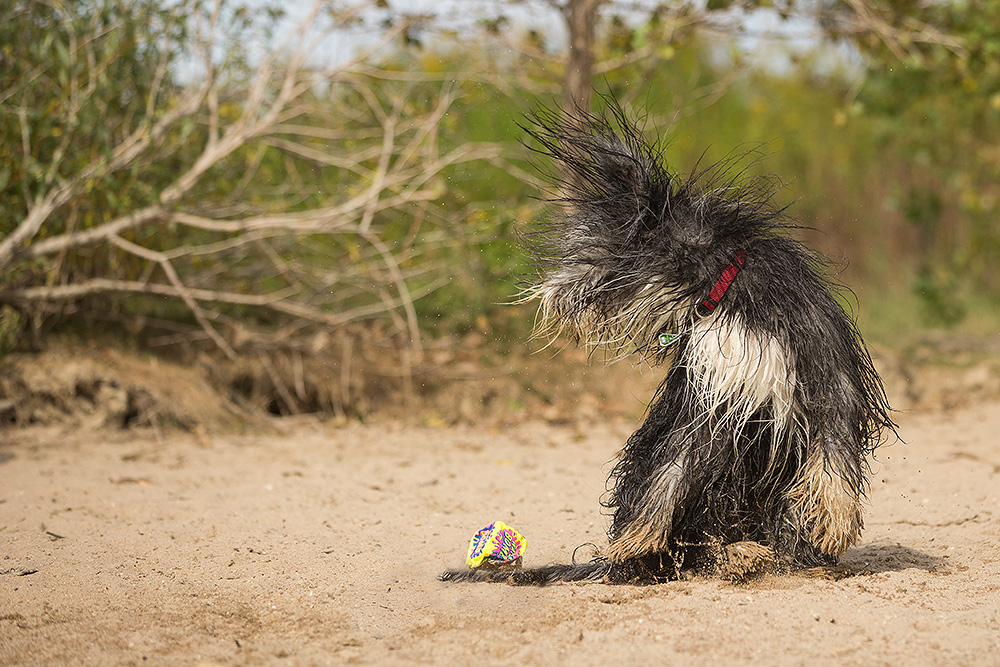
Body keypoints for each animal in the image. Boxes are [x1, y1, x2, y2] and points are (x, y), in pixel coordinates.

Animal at [442, 99, 896, 584]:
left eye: (594, 250)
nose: (548, 299)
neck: (724, 291)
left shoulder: (823, 371)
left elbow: (834, 454)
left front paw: (835, 521)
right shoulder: (708, 405)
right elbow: (671, 472)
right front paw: (637, 538)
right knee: (690, 529)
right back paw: (721, 555)